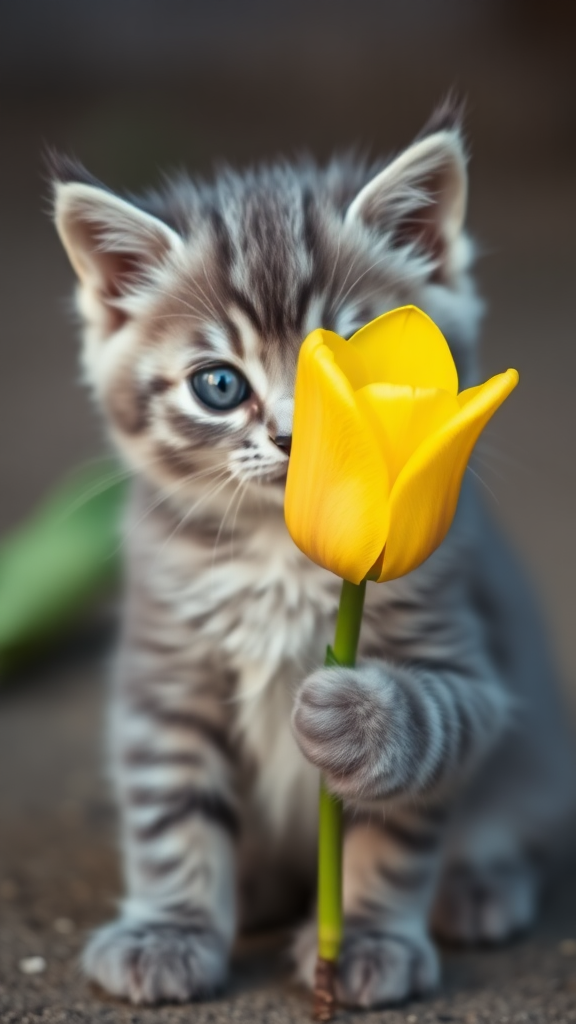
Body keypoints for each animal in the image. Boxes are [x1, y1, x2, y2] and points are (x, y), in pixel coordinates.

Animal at [51, 105, 569, 1007]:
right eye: (219, 385)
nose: (300, 440)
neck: (281, 555)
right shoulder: (166, 673)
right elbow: (171, 812)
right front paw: (169, 931)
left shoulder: (462, 662)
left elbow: (401, 804)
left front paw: (364, 934)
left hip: (538, 755)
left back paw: (479, 885)